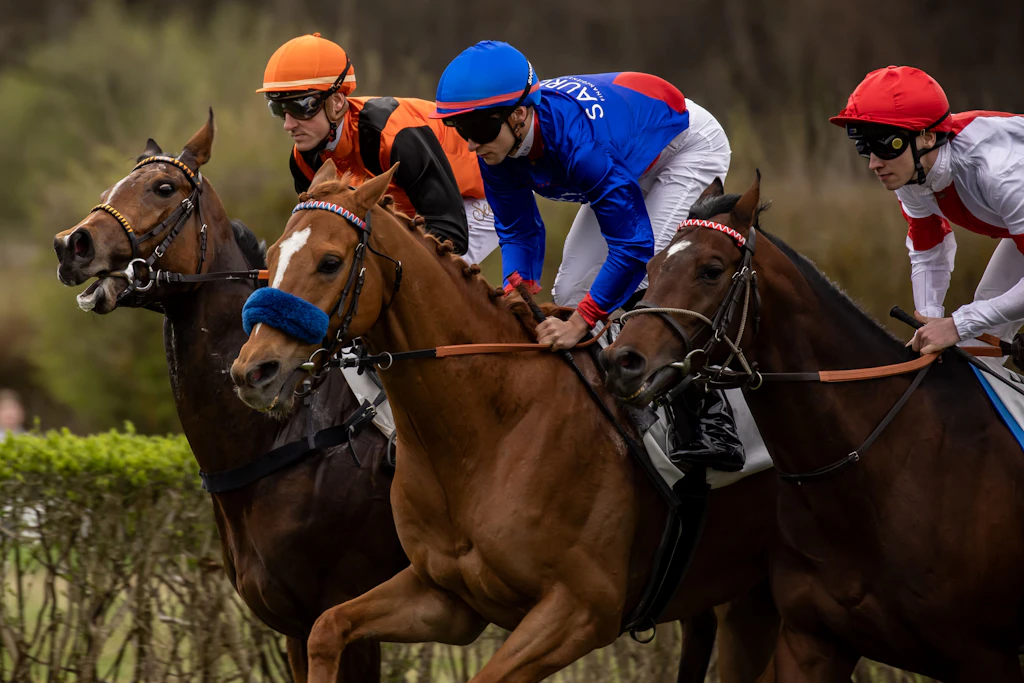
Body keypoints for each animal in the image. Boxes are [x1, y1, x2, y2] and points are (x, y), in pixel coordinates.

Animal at [52, 114, 408, 682]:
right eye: (110, 187)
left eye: (163, 187)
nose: (72, 244)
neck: (286, 429)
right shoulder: (295, 625)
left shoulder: (346, 612)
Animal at [229, 158, 782, 683]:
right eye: (271, 259)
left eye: (330, 262)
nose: (253, 370)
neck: (488, 433)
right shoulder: (443, 597)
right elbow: (328, 628)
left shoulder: (581, 611)